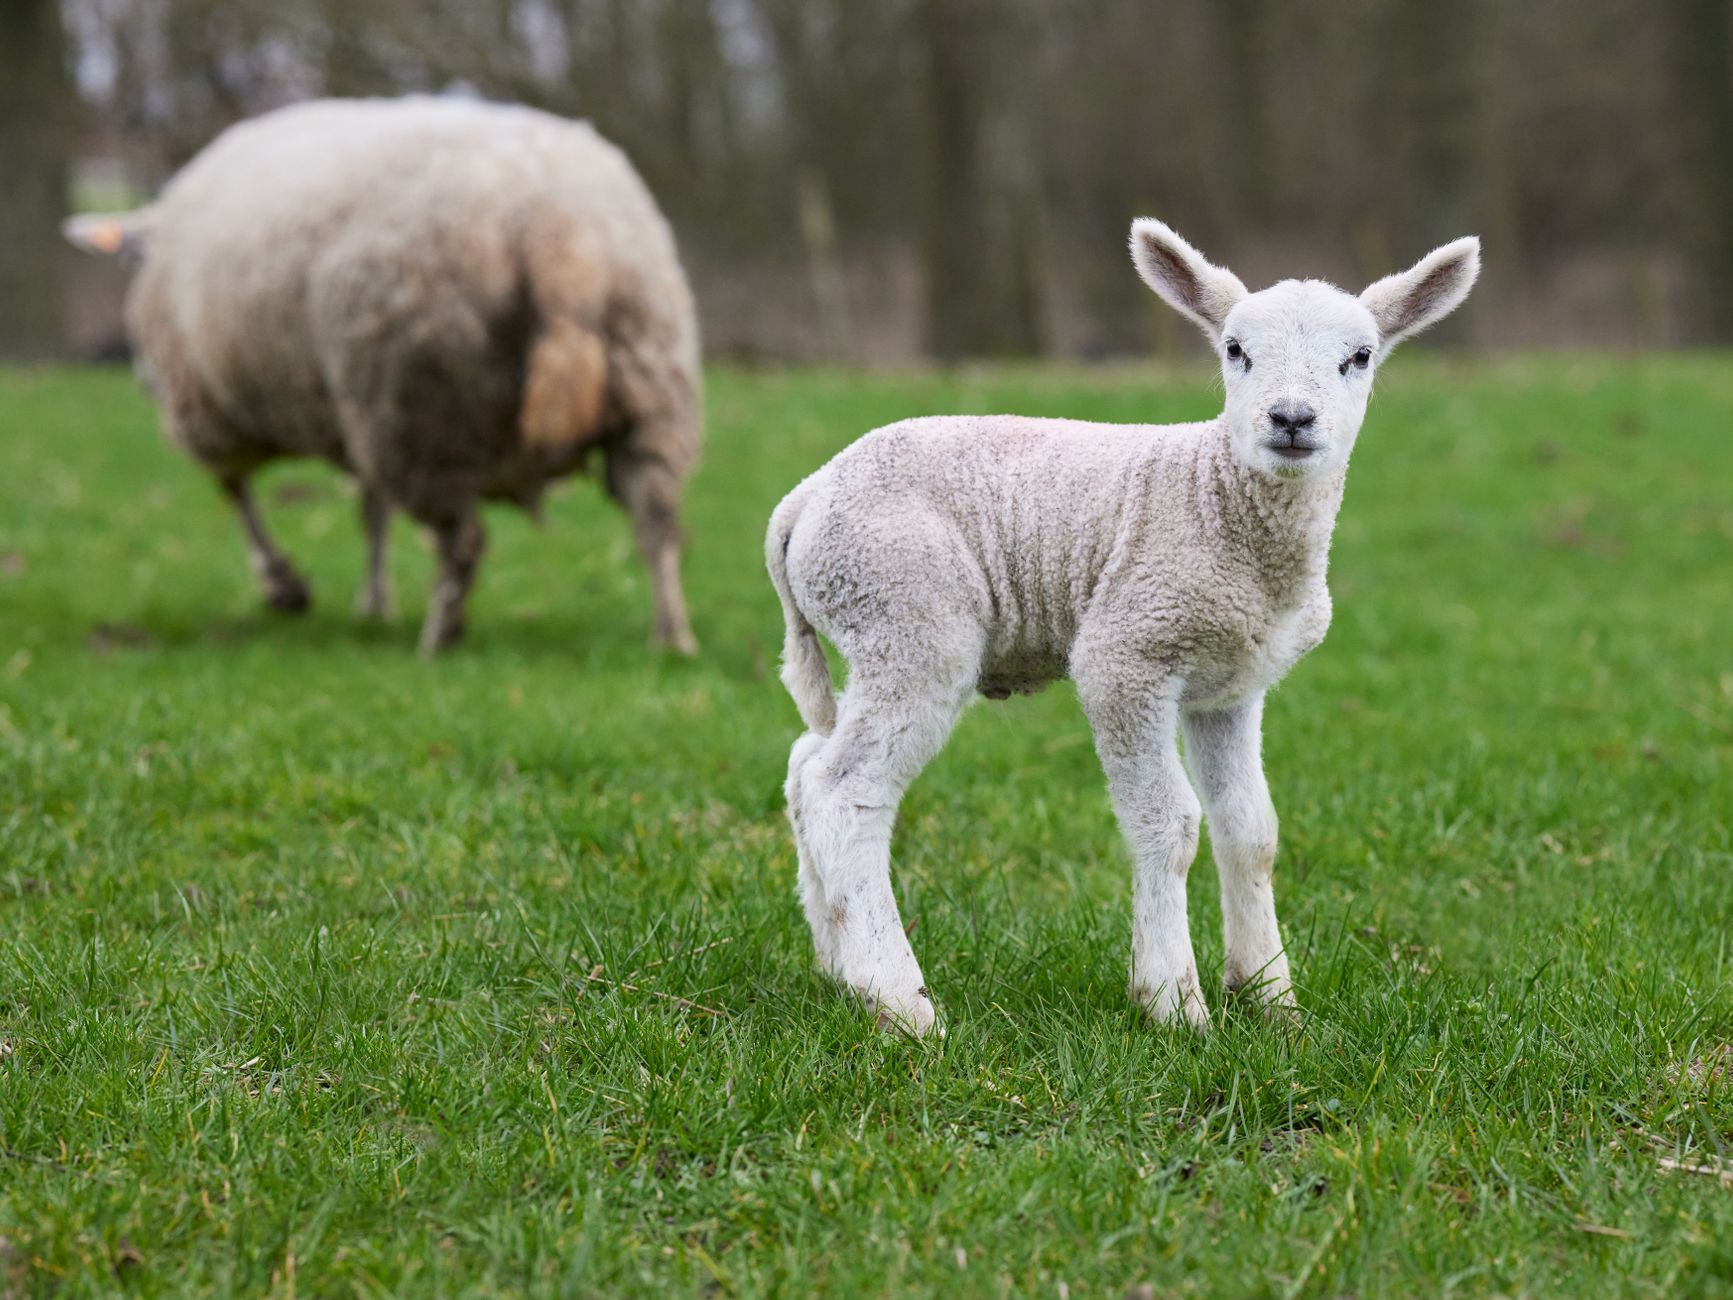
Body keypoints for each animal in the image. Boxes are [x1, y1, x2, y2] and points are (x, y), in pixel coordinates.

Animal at [65, 96, 701, 655]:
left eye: (129, 263)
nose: (142, 378)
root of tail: (558, 229)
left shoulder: (210, 405)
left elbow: (236, 490)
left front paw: (284, 585)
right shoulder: (350, 415)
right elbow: (372, 510)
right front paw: (373, 604)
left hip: (418, 402)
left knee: (463, 540)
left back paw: (440, 638)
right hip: (647, 383)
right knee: (656, 519)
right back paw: (671, 638)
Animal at [766, 219, 1480, 1035]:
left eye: (1357, 357)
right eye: (1235, 350)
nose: (1292, 419)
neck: (1213, 496)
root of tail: (804, 500)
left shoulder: (1229, 687)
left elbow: (1250, 830)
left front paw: (1270, 997)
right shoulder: (1128, 652)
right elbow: (1169, 825)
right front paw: (1173, 1002)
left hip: (872, 630)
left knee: (806, 764)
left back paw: (840, 970)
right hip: (909, 616)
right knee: (844, 791)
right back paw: (901, 1003)